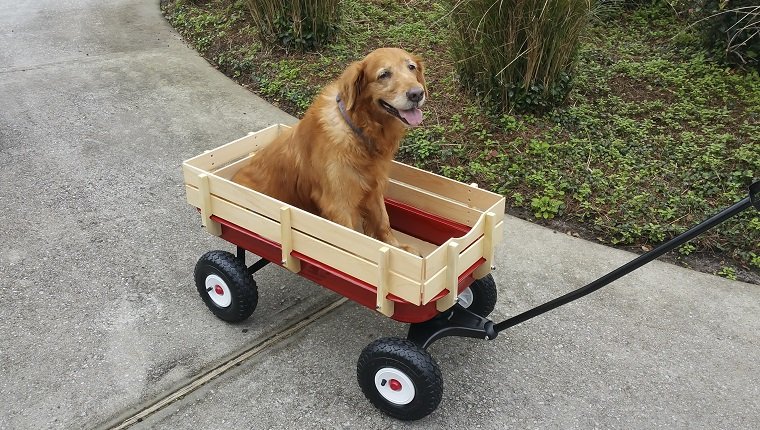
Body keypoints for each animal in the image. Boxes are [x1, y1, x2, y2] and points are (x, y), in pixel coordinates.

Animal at [232, 47, 428, 255]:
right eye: (384, 74)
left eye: (411, 67)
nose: (417, 94)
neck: (358, 129)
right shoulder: (338, 203)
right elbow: (349, 241)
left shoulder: (374, 187)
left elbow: (383, 220)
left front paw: (397, 247)